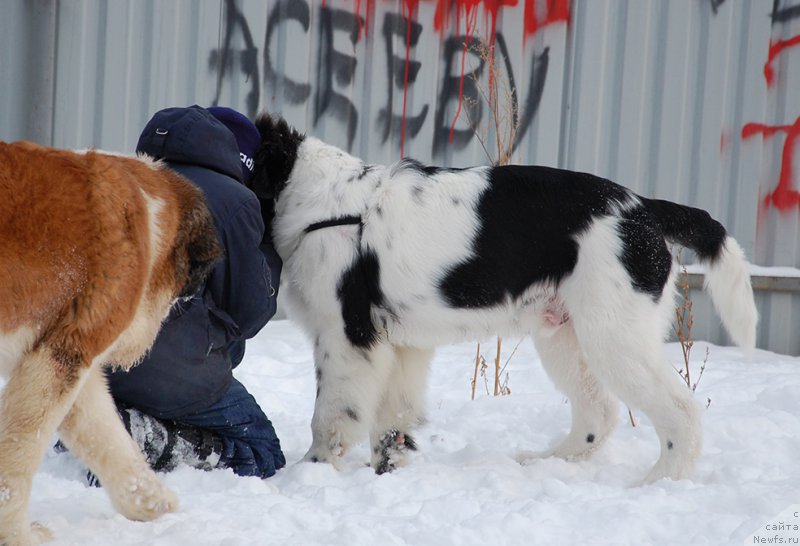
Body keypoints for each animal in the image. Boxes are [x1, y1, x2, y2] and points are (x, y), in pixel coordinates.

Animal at [0, 141, 220, 544]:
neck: (148, 220)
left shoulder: (64, 357)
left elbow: (109, 438)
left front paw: (151, 503)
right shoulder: (61, 358)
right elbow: (20, 450)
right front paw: (17, 536)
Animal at [253, 113, 760, 480]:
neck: (317, 200)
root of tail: (642, 208)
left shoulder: (345, 336)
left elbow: (330, 416)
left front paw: (308, 475)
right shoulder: (401, 344)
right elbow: (393, 419)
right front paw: (387, 472)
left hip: (615, 336)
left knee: (681, 412)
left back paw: (657, 483)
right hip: (566, 336)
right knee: (599, 413)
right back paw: (547, 462)